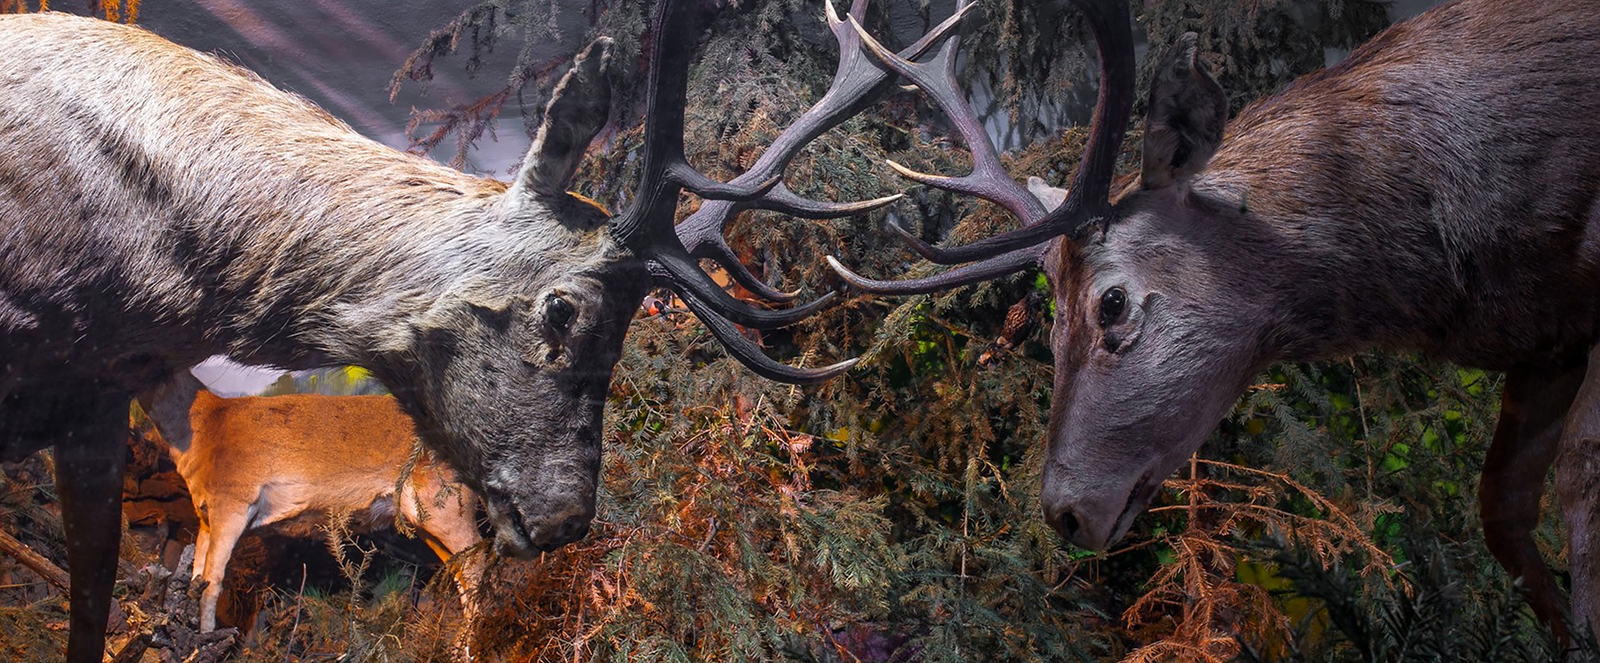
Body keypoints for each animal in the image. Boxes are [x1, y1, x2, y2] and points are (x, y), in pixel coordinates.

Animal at [135, 370, 484, 634]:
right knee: (461, 569)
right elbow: (195, 576)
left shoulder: (231, 511)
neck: (208, 423)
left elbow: (212, 582)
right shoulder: (206, 521)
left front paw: (204, 638)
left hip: (447, 514)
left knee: (477, 564)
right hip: (425, 526)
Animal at [829, 0, 1600, 645]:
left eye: (1112, 302)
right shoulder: (1545, 345)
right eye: (1046, 323)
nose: (1062, 510)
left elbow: (1581, 479)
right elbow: (1503, 505)